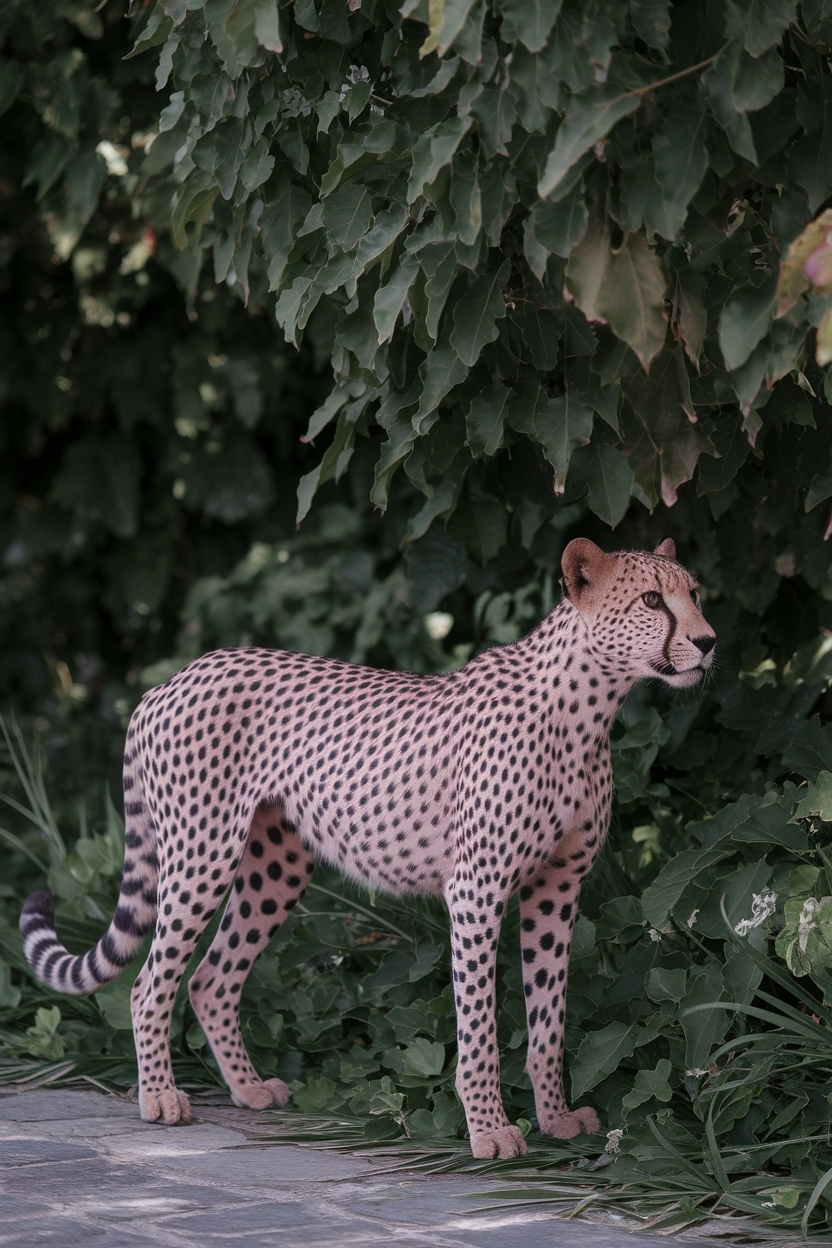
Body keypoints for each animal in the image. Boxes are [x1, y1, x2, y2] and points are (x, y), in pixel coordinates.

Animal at [20, 537, 715, 1159]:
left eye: (695, 594)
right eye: (652, 599)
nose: (708, 643)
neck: (588, 708)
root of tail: (174, 678)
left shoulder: (557, 886)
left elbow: (549, 1018)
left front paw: (558, 1120)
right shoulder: (477, 888)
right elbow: (481, 1024)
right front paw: (490, 1131)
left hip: (276, 867)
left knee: (212, 979)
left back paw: (248, 1090)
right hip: (202, 853)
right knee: (148, 985)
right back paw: (161, 1099)